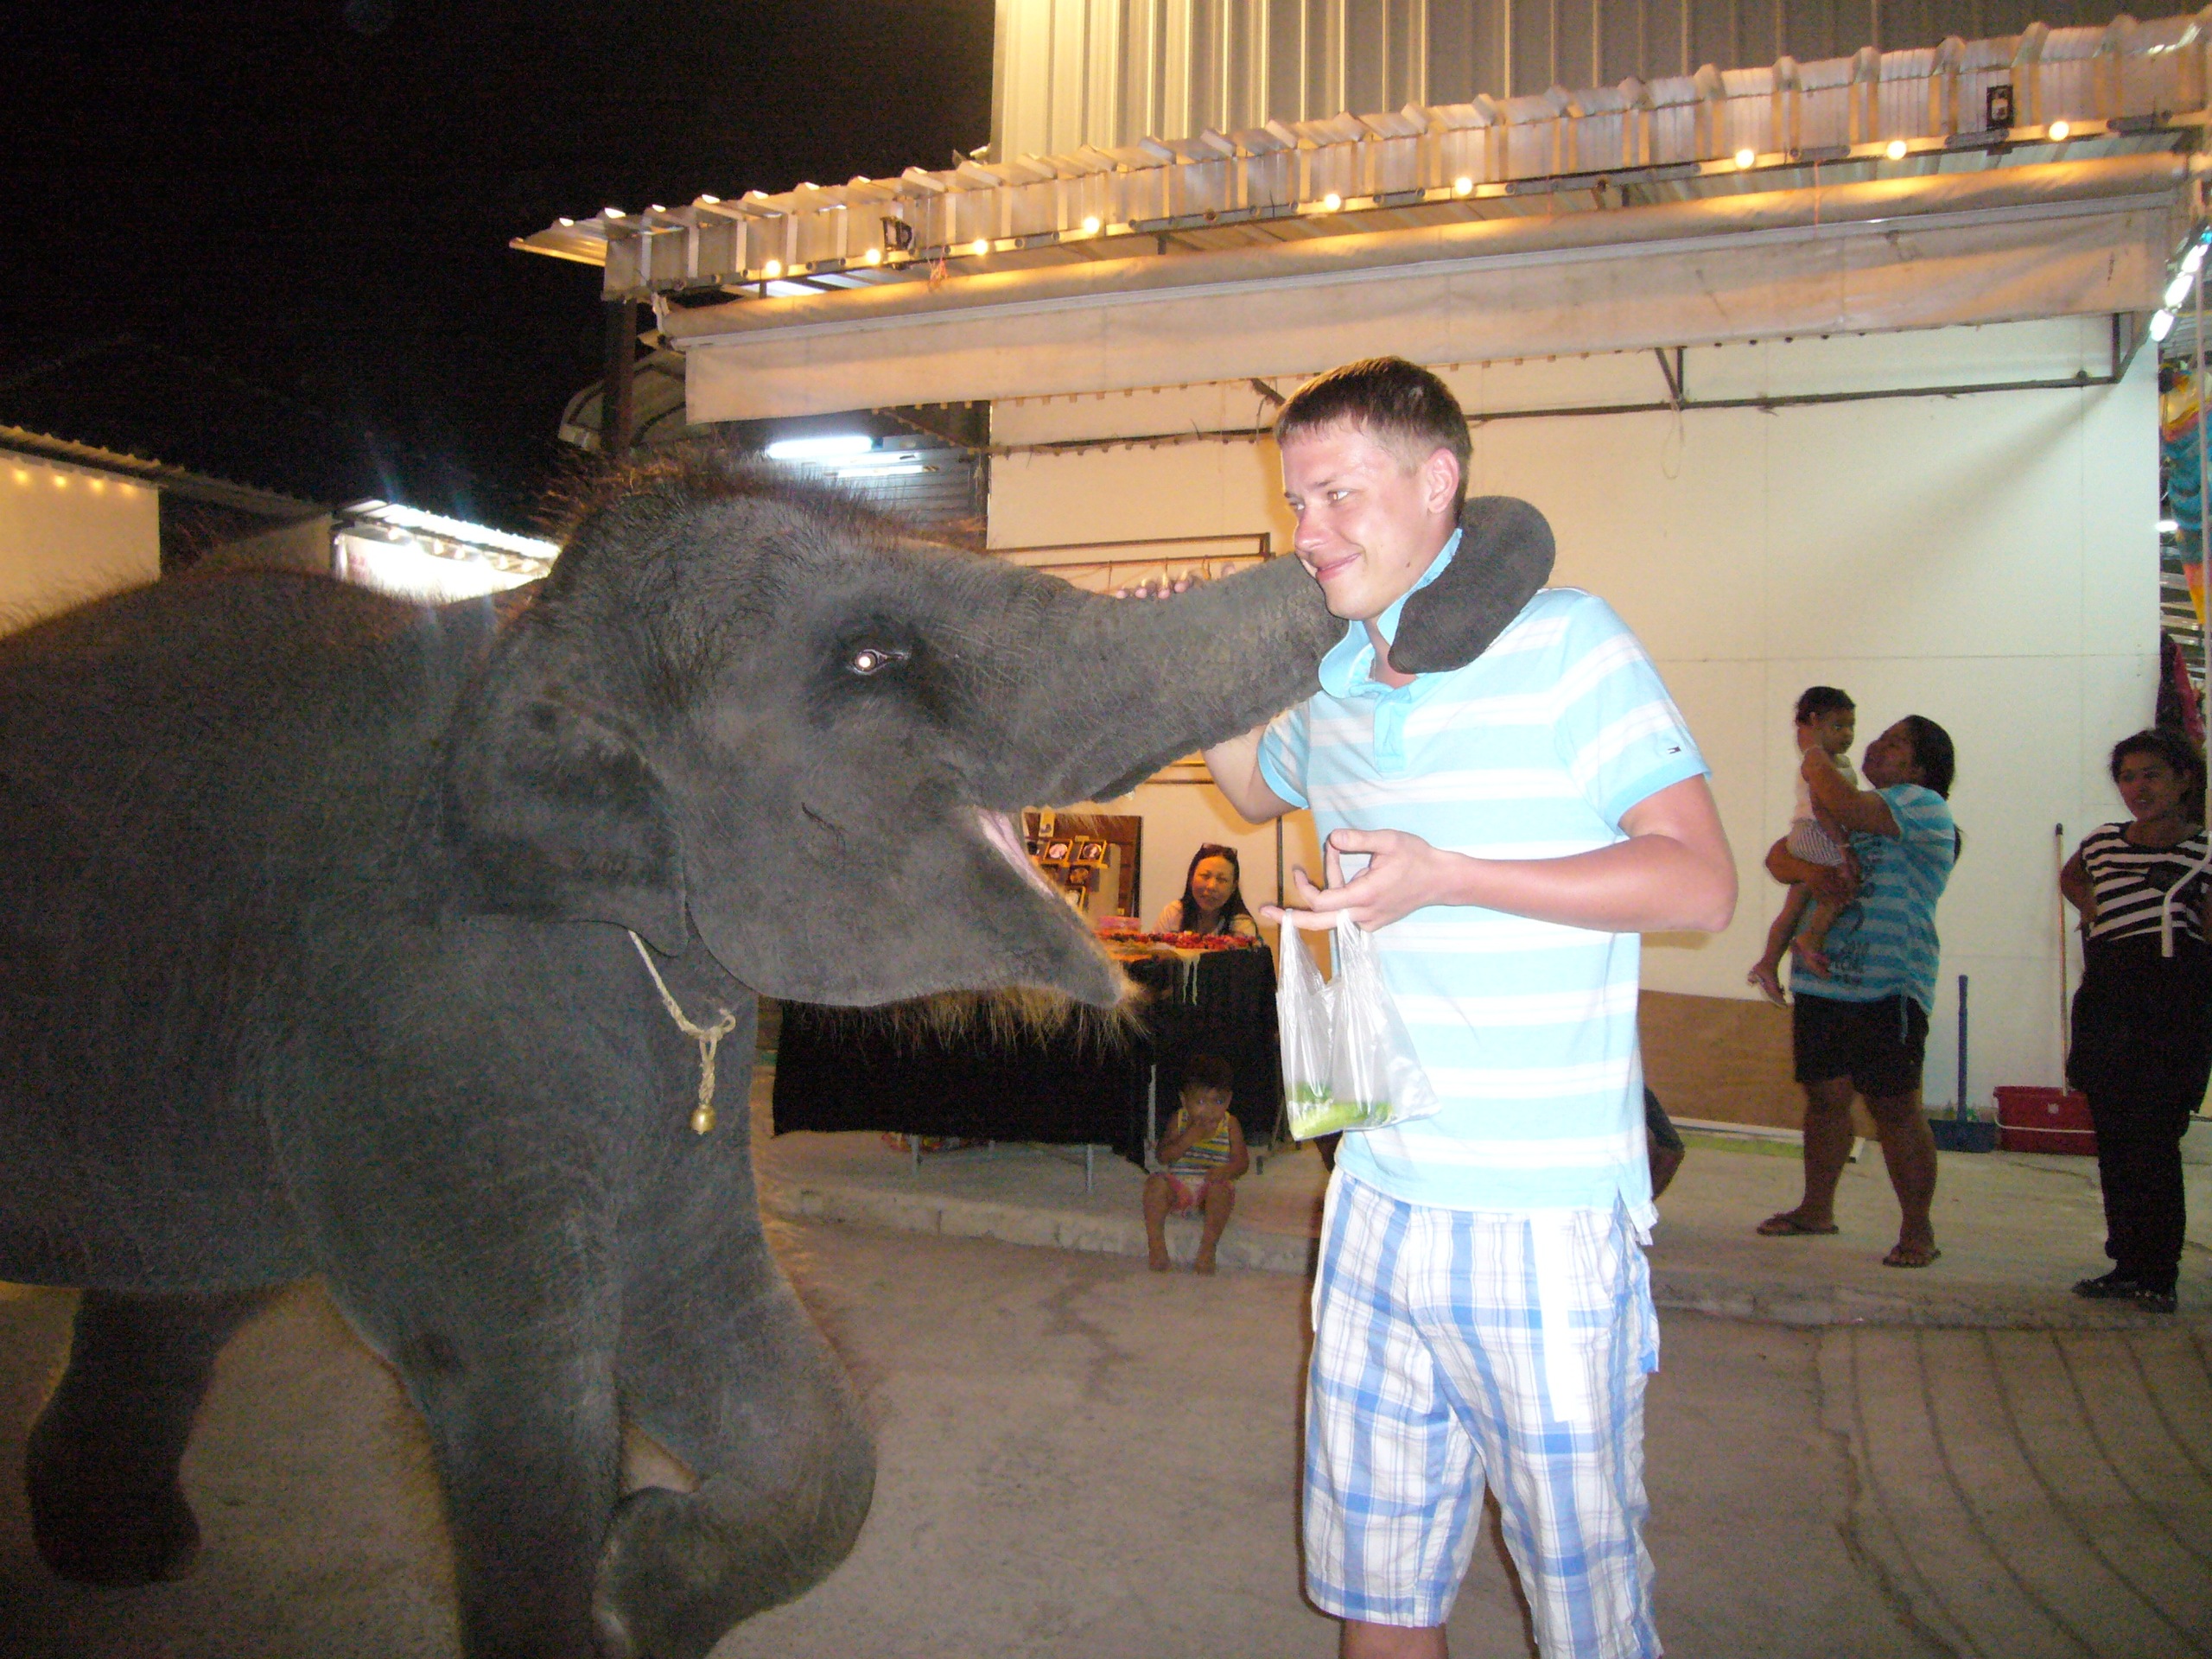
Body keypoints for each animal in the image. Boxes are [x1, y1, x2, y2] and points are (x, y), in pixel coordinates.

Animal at [0, 452, 1549, 1659]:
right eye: (871, 661)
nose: (1423, 528)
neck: (521, 637)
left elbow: (754, 1359)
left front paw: (640, 1574)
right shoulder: (412, 1019)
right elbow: (520, 1392)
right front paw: (607, 1553)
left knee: (191, 1286)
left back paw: (123, 1561)